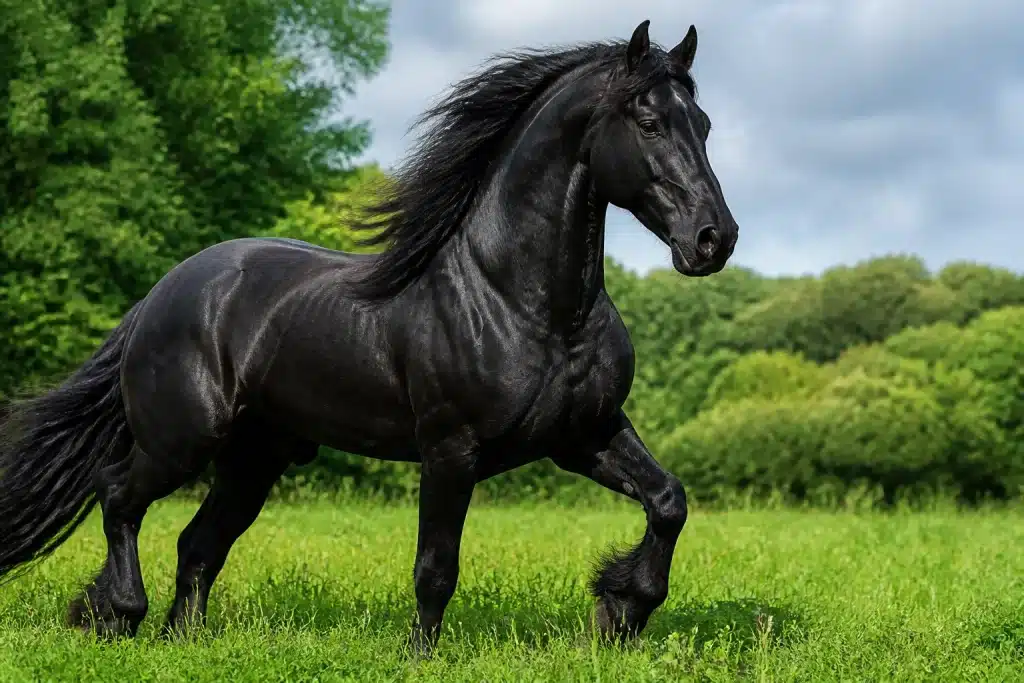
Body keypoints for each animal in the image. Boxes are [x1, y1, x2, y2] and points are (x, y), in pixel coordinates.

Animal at [0, 19, 738, 655]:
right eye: (648, 120)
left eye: (702, 124)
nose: (715, 239)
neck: (526, 303)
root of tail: (161, 294)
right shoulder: (450, 449)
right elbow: (436, 564)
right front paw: (420, 654)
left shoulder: (584, 434)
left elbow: (669, 501)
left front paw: (622, 610)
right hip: (179, 440)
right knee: (117, 496)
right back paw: (117, 615)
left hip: (254, 458)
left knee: (197, 542)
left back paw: (180, 638)